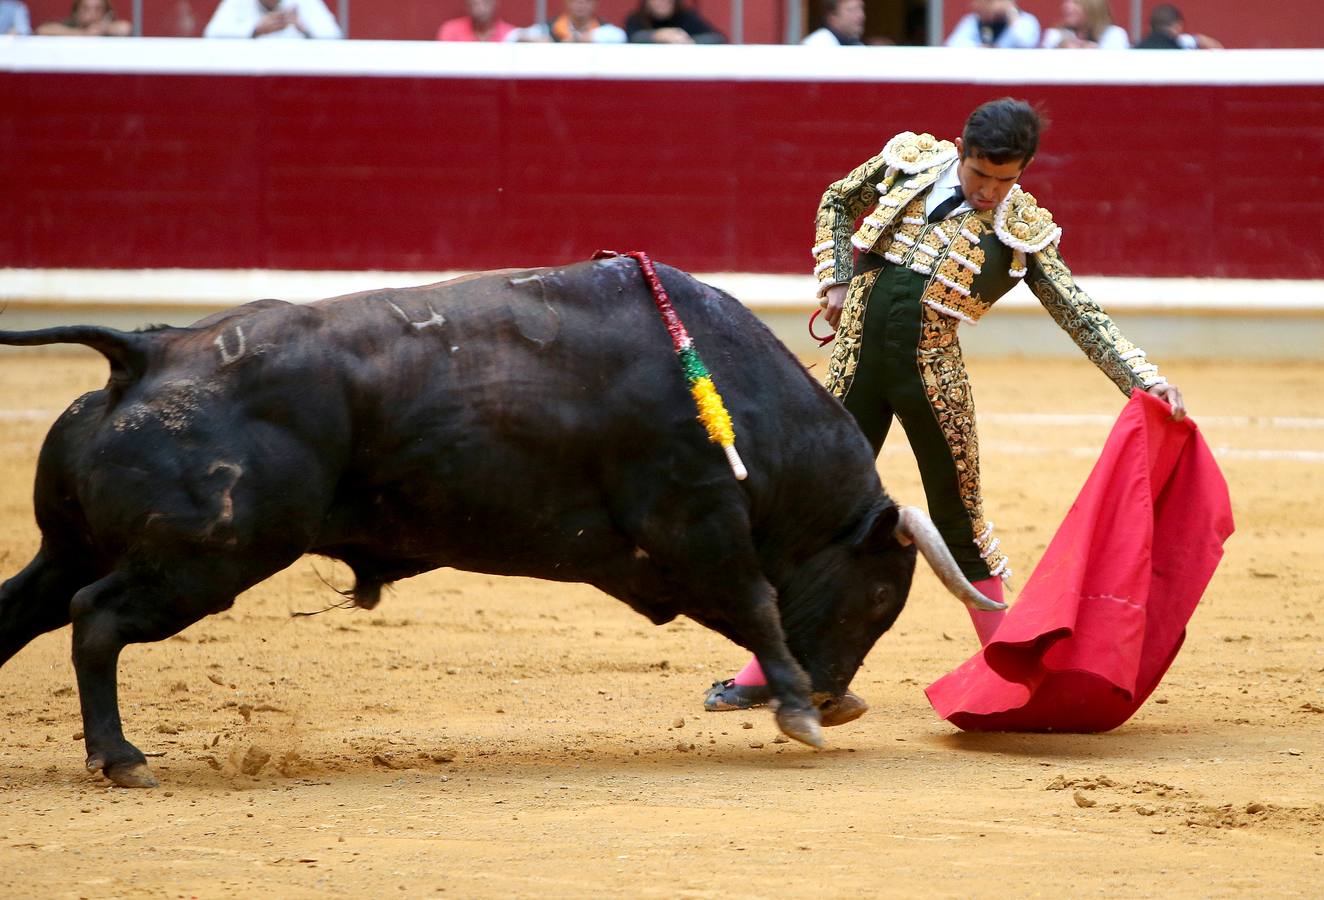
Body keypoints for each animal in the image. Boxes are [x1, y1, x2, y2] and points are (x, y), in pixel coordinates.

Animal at [0, 256, 995, 783]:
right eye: (881, 599)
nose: (838, 695)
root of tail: (151, 352)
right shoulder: (697, 523)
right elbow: (757, 603)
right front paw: (794, 709)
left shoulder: (669, 553)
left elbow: (748, 609)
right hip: (208, 559)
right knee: (96, 621)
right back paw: (120, 756)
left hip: (78, 546)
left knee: (26, 609)